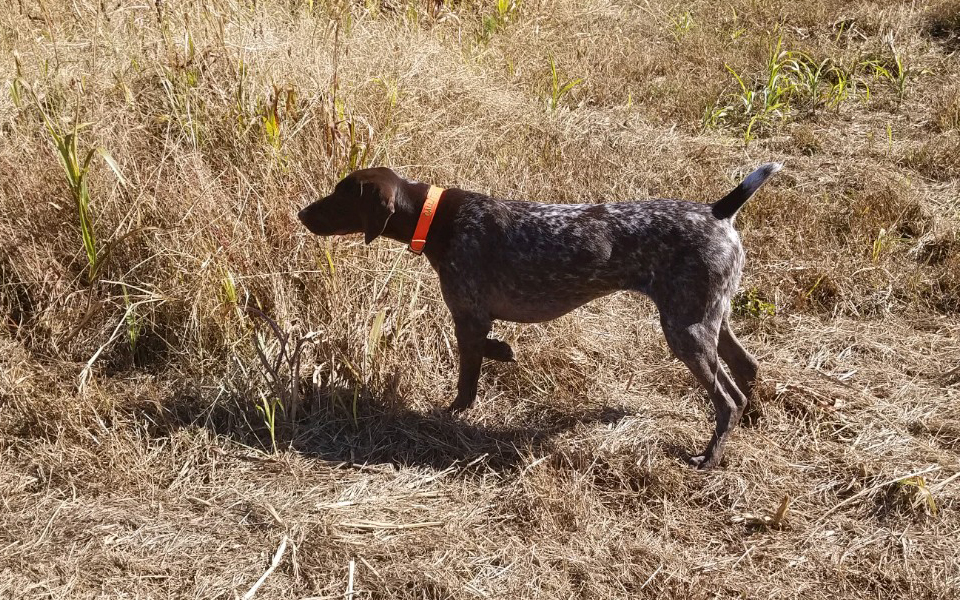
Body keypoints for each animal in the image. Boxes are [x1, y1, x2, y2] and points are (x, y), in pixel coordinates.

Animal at [300, 164, 780, 468]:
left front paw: (453, 411)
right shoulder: (477, 320)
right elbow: (489, 349)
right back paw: (752, 419)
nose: (302, 213)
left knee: (728, 398)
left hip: (685, 330)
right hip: (707, 317)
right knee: (747, 367)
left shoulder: (468, 316)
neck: (436, 219)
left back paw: (710, 457)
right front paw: (503, 351)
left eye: (341, 196)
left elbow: (468, 377)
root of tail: (719, 212)